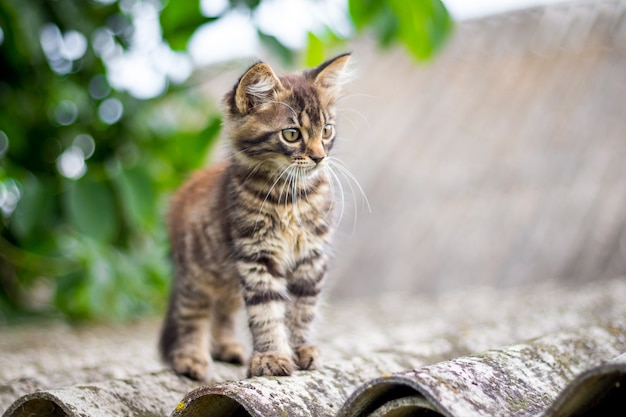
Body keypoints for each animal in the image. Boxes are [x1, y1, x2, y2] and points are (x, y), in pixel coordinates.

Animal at [157, 52, 352, 380]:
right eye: (292, 134)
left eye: (326, 131)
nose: (319, 157)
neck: (290, 197)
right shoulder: (257, 256)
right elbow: (266, 312)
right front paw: (272, 357)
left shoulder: (310, 258)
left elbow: (302, 310)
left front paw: (300, 349)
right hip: (196, 273)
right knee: (192, 313)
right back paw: (191, 357)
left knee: (224, 310)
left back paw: (227, 347)